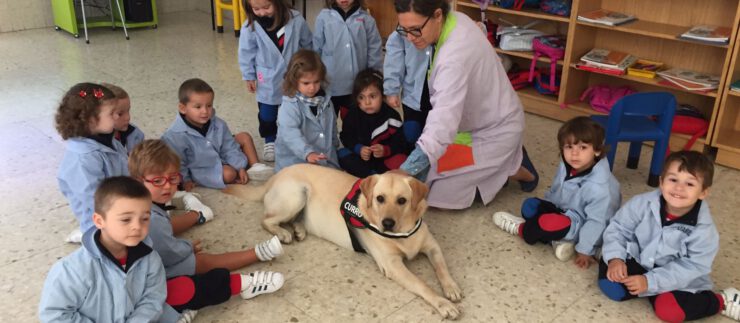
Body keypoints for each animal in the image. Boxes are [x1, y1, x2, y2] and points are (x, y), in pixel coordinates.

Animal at [225, 165, 460, 318]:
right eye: (380, 198)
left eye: (402, 200)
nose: (387, 223)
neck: (404, 232)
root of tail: (276, 175)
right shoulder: (392, 264)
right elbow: (421, 284)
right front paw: (442, 303)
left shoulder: (432, 246)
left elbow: (441, 267)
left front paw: (451, 287)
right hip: (296, 195)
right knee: (266, 220)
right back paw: (282, 233)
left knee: (292, 220)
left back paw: (299, 229)